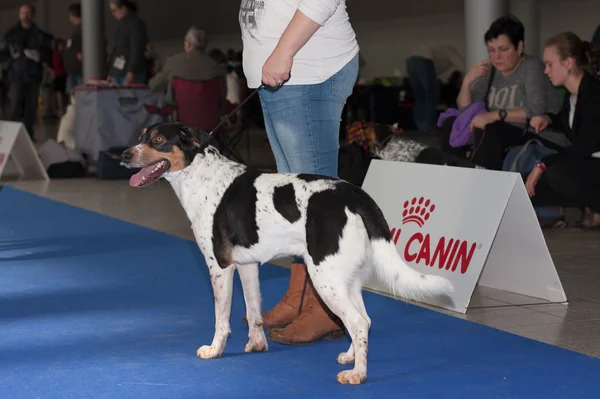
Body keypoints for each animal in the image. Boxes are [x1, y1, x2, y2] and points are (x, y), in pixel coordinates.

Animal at [120, 123, 450, 386]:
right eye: (140, 136)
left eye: (158, 139)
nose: (123, 156)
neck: (200, 175)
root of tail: (354, 194)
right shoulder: (248, 266)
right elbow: (254, 312)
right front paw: (257, 345)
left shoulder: (220, 267)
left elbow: (221, 319)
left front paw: (214, 350)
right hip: (345, 278)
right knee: (364, 320)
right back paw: (350, 357)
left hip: (325, 277)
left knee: (356, 322)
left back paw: (358, 374)